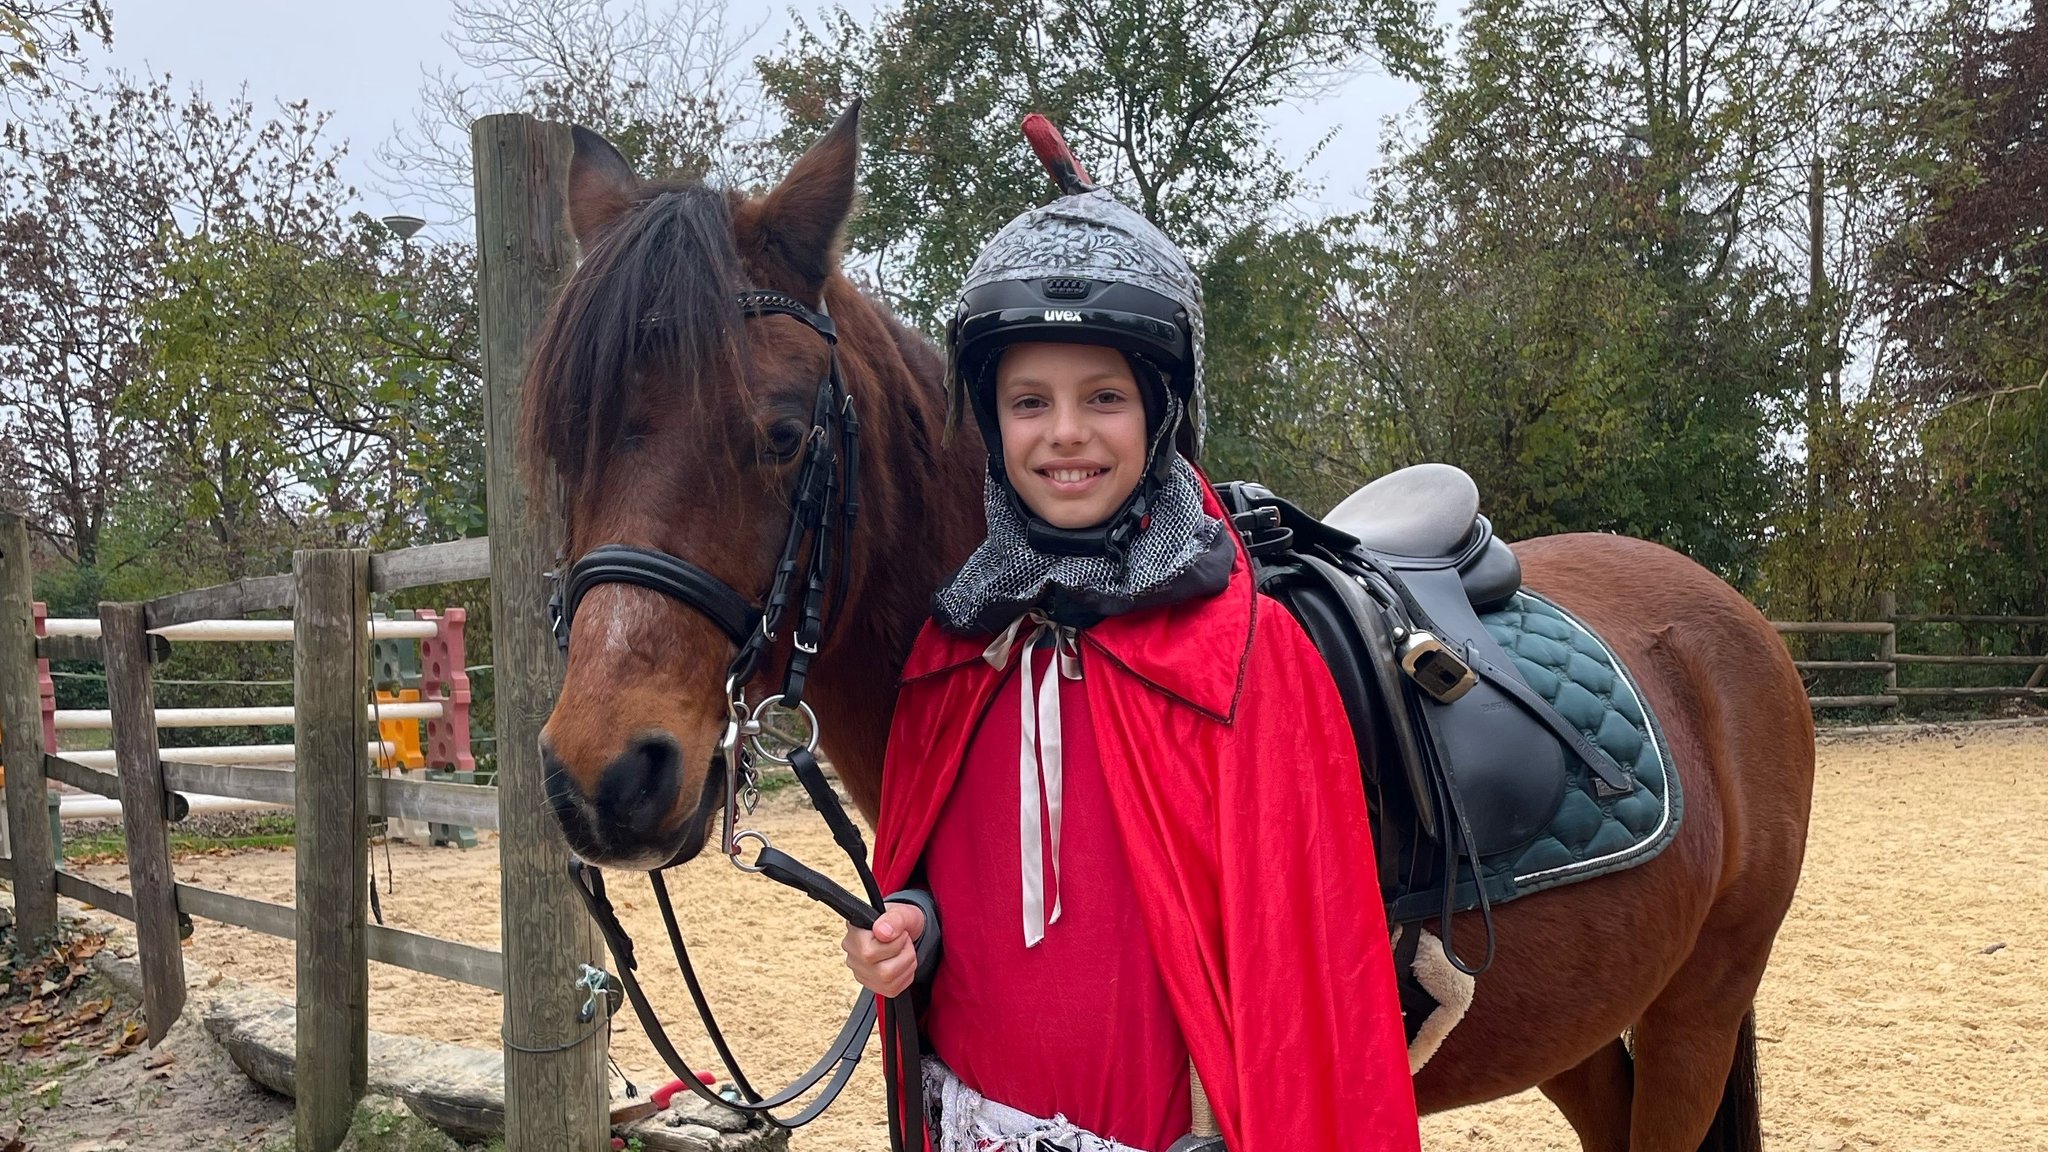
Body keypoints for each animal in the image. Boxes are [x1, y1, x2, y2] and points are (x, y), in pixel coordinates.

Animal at [524, 107, 1810, 1147]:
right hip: (1578, 1018)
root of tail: (1723, 618)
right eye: (561, 440)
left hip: (1699, 1002)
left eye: (783, 433)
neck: (1066, 609)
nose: (605, 778)